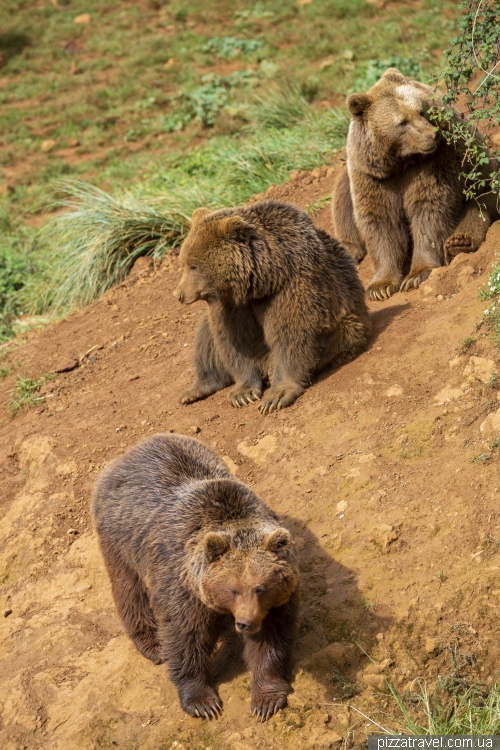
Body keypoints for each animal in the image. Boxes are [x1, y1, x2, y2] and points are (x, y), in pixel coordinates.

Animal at [91, 434, 298, 724]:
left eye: (261, 587)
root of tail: (127, 453)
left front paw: (266, 700)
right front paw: (203, 702)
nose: (244, 623)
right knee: (129, 589)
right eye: (233, 589)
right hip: (121, 537)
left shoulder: (276, 602)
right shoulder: (181, 584)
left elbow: (271, 639)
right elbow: (185, 636)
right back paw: (153, 644)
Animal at [172, 203, 372, 414]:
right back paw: (196, 389)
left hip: (346, 320)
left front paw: (276, 396)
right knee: (206, 339)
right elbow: (234, 341)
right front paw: (243, 394)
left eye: (193, 266)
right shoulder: (229, 305)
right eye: (183, 263)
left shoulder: (290, 287)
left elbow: (291, 334)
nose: (178, 294)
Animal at [332, 67, 500, 302]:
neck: (400, 161)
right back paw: (349, 250)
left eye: (421, 110)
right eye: (402, 122)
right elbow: (380, 221)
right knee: (342, 197)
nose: (432, 135)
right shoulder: (373, 176)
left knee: (480, 206)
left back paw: (459, 242)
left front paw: (416, 274)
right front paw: (379, 286)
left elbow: (429, 210)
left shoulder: (434, 162)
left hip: (485, 176)